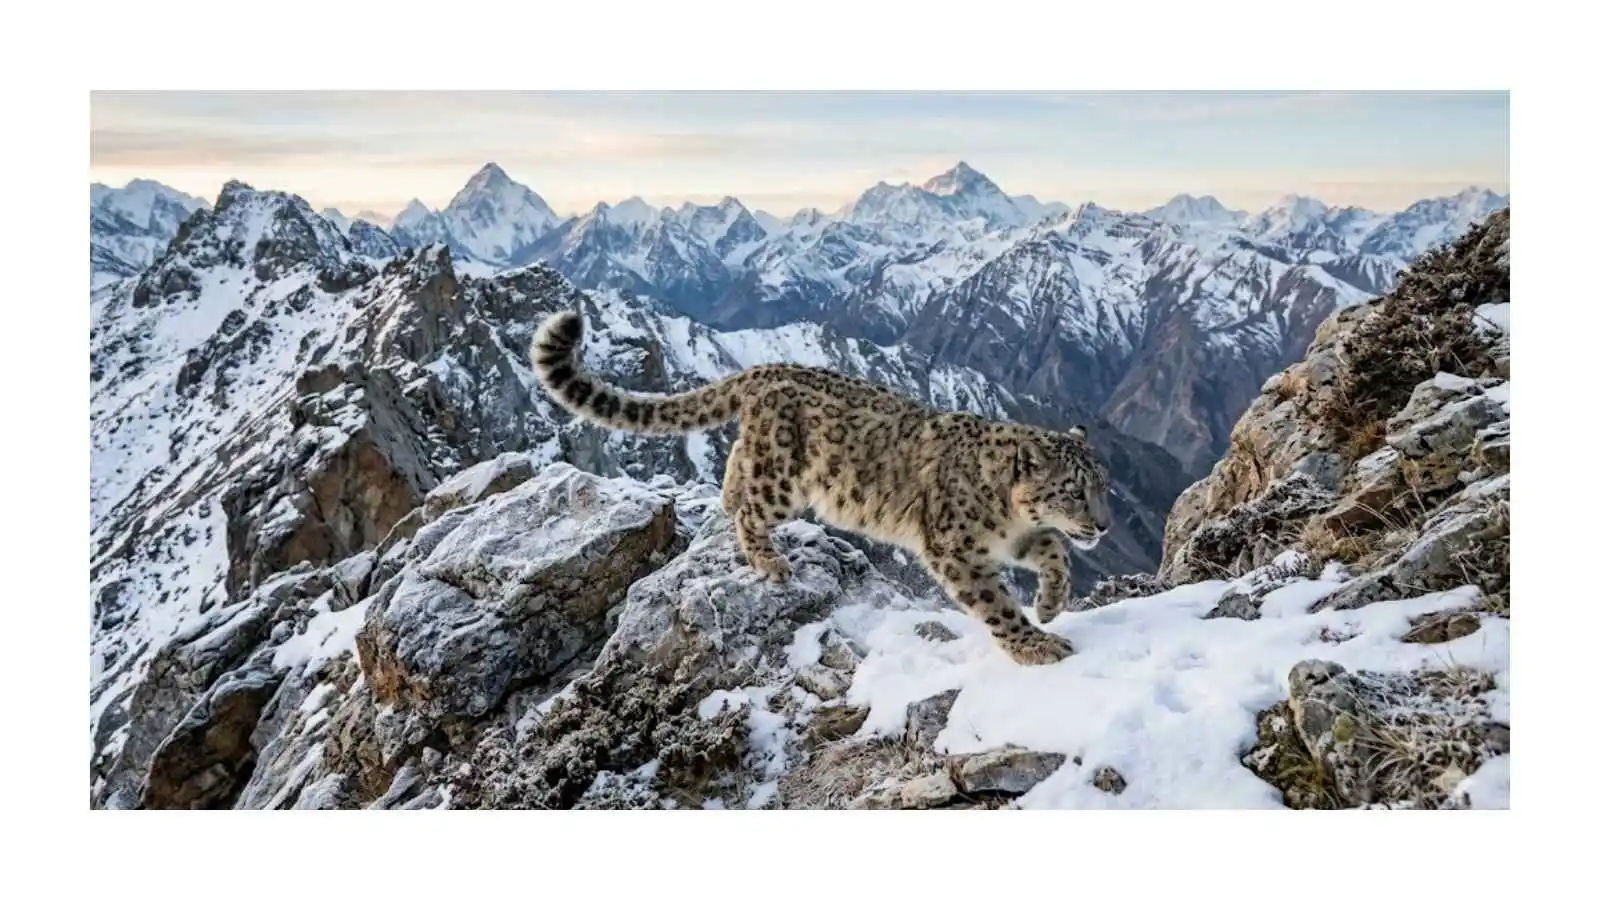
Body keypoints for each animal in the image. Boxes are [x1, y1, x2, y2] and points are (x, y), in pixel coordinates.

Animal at [530, 309, 1114, 666]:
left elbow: (1057, 550)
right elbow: (996, 604)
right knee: (750, 511)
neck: (1011, 520)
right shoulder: (957, 549)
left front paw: (1051, 605)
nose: (1105, 526)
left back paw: (726, 497)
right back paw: (769, 561)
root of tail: (766, 369)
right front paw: (1036, 644)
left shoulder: (1019, 539)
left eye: (1104, 486)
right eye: (1072, 491)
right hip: (786, 481)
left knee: (737, 466)